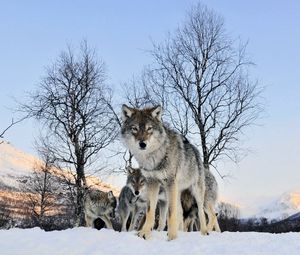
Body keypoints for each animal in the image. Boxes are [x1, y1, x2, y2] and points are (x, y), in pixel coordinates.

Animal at [120, 104, 207, 240]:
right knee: (180, 212)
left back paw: (204, 232)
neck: (153, 158)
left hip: (195, 191)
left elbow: (170, 213)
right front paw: (144, 233)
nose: (142, 144)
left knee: (200, 211)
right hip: (177, 191)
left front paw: (172, 237)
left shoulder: (170, 183)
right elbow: (150, 211)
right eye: (134, 128)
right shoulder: (152, 182)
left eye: (149, 129)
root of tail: (194, 149)